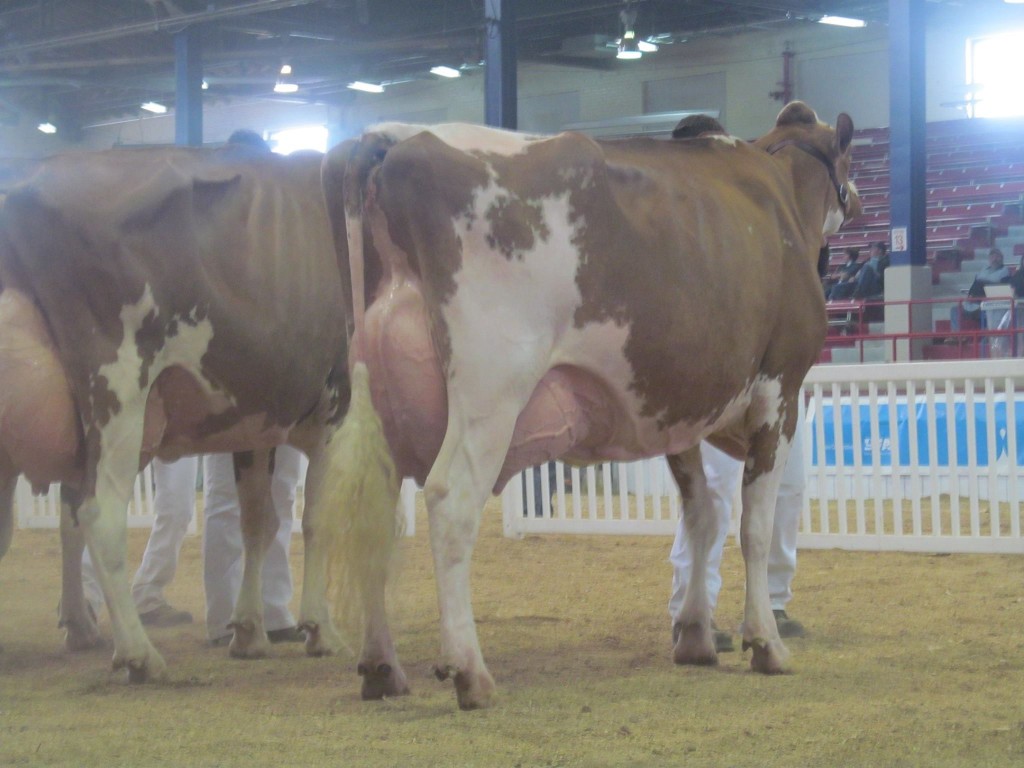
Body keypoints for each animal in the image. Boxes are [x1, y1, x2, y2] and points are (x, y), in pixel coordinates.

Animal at [0, 145, 375, 683]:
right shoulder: (335, 408)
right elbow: (317, 520)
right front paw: (320, 630)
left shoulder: (255, 422)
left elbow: (256, 523)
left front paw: (249, 633)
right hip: (117, 391)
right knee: (97, 514)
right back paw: (139, 654)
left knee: (67, 516)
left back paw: (89, 631)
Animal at [320, 101, 860, 709]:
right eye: (848, 163)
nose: (860, 200)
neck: (781, 199)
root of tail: (388, 141)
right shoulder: (779, 389)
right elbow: (754, 528)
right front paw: (765, 642)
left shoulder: (676, 410)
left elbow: (701, 516)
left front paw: (695, 635)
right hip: (491, 391)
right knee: (450, 502)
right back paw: (469, 671)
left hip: (379, 404)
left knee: (375, 513)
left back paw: (381, 666)